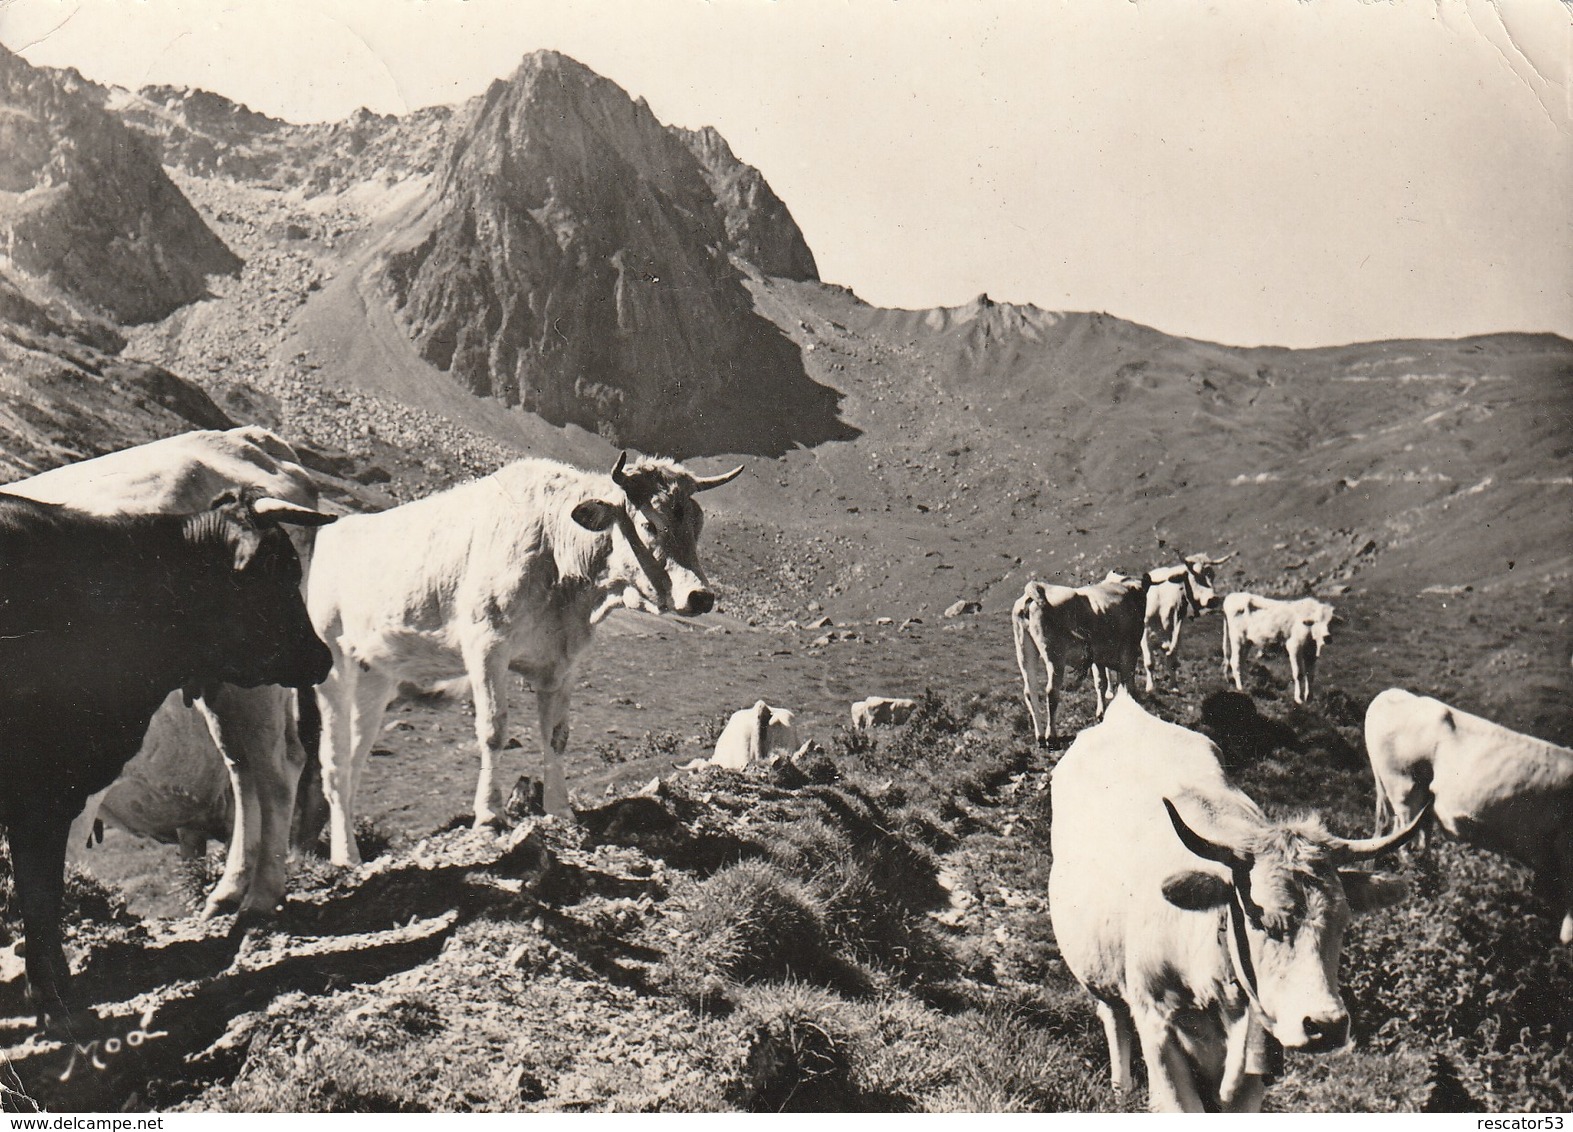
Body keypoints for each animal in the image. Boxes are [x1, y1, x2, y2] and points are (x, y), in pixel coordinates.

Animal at [314, 446, 748, 861]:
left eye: (697, 524)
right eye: (649, 524)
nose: (701, 596)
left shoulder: (564, 663)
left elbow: (556, 736)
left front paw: (560, 809)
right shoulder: (486, 645)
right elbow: (493, 730)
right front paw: (489, 814)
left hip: (376, 673)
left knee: (353, 762)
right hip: (332, 663)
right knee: (333, 766)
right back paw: (346, 856)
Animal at [1013, 575, 1151, 742]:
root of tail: (1038, 587)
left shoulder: (1098, 658)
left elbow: (1101, 683)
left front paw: (1101, 714)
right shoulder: (1128, 652)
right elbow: (1128, 685)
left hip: (1024, 651)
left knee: (1030, 691)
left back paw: (1039, 736)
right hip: (1055, 656)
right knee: (1051, 691)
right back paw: (1051, 735)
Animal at [1050, 688, 1421, 1113]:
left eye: (1343, 921)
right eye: (1259, 919)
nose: (1325, 1026)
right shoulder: (1158, 1028)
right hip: (1098, 969)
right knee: (1113, 1017)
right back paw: (1120, 1088)